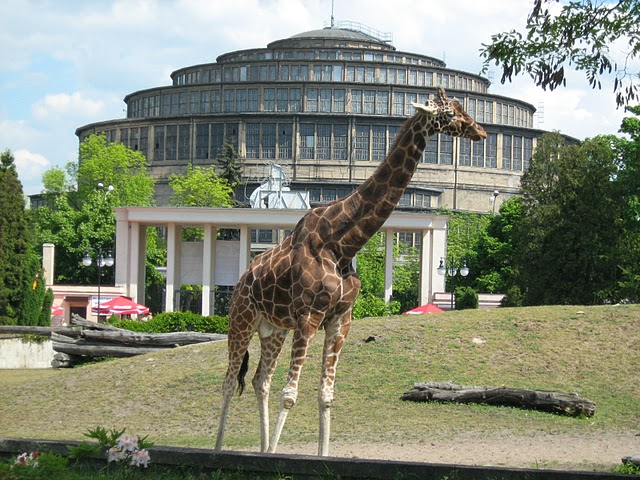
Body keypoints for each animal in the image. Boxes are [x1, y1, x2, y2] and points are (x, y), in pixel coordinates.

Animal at [215, 87, 486, 457]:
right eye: (448, 113)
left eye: (462, 106)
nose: (480, 131)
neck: (342, 244)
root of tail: (241, 281)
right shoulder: (309, 317)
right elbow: (291, 395)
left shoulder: (340, 319)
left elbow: (325, 395)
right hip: (241, 319)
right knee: (230, 382)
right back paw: (219, 450)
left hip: (273, 329)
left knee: (260, 380)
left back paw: (262, 449)